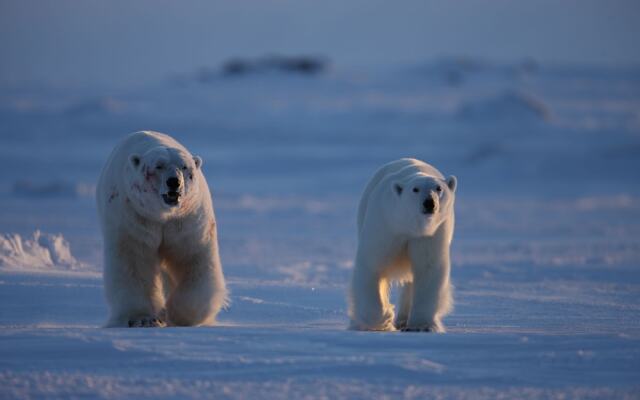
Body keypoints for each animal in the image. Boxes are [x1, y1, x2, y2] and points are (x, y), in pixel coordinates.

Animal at [95, 131, 225, 328]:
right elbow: (133, 262)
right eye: (158, 166)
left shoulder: (186, 222)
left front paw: (177, 315)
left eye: (185, 166)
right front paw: (142, 318)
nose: (174, 182)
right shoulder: (134, 217)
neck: (162, 215)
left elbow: (192, 259)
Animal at [348, 158, 458, 332]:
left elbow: (428, 269)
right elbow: (372, 265)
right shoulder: (385, 223)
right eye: (415, 189)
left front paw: (421, 325)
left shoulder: (432, 234)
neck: (409, 225)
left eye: (439, 188)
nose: (429, 203)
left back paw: (403, 320)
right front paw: (383, 319)